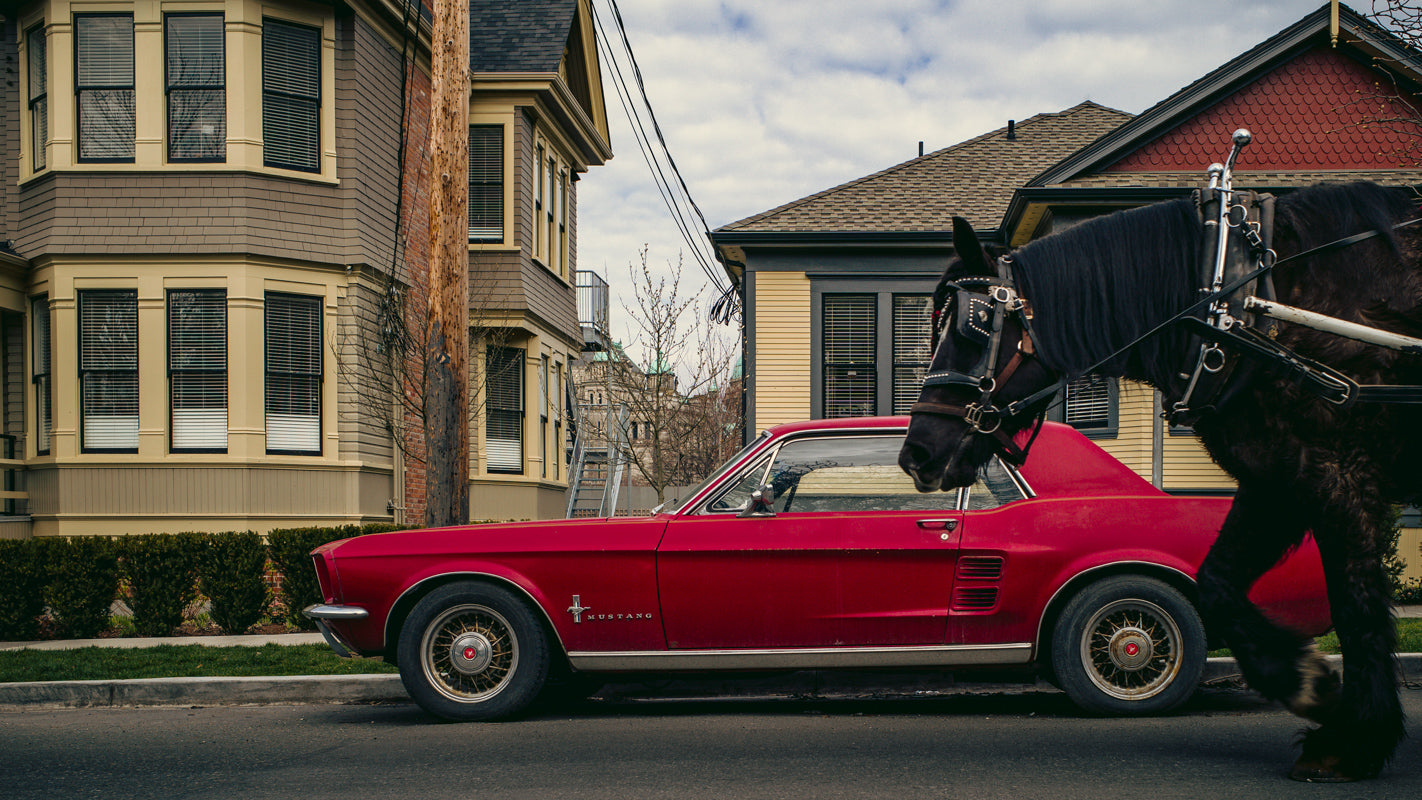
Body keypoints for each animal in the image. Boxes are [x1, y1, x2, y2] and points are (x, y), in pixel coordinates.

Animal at [898, 183, 1422, 784]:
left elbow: (1357, 610)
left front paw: (1351, 740)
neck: (1234, 292)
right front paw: (1309, 683)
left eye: (970, 328)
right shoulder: (1278, 476)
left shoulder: (1340, 473)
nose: (916, 454)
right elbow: (1216, 584)